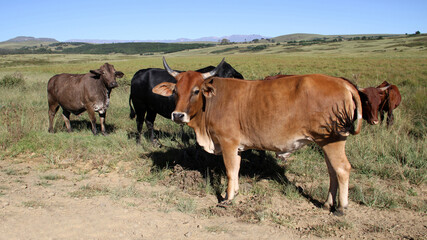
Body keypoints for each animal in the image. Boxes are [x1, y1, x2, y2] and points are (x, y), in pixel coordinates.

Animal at [155, 58, 364, 216]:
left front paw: (227, 199)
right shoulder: (237, 147)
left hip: (332, 141)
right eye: (175, 91)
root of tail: (342, 82)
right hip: (325, 142)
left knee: (342, 169)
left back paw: (341, 208)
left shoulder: (228, 143)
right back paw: (328, 204)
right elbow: (236, 170)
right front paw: (235, 193)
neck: (212, 101)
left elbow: (230, 171)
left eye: (196, 90)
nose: (178, 115)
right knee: (332, 171)